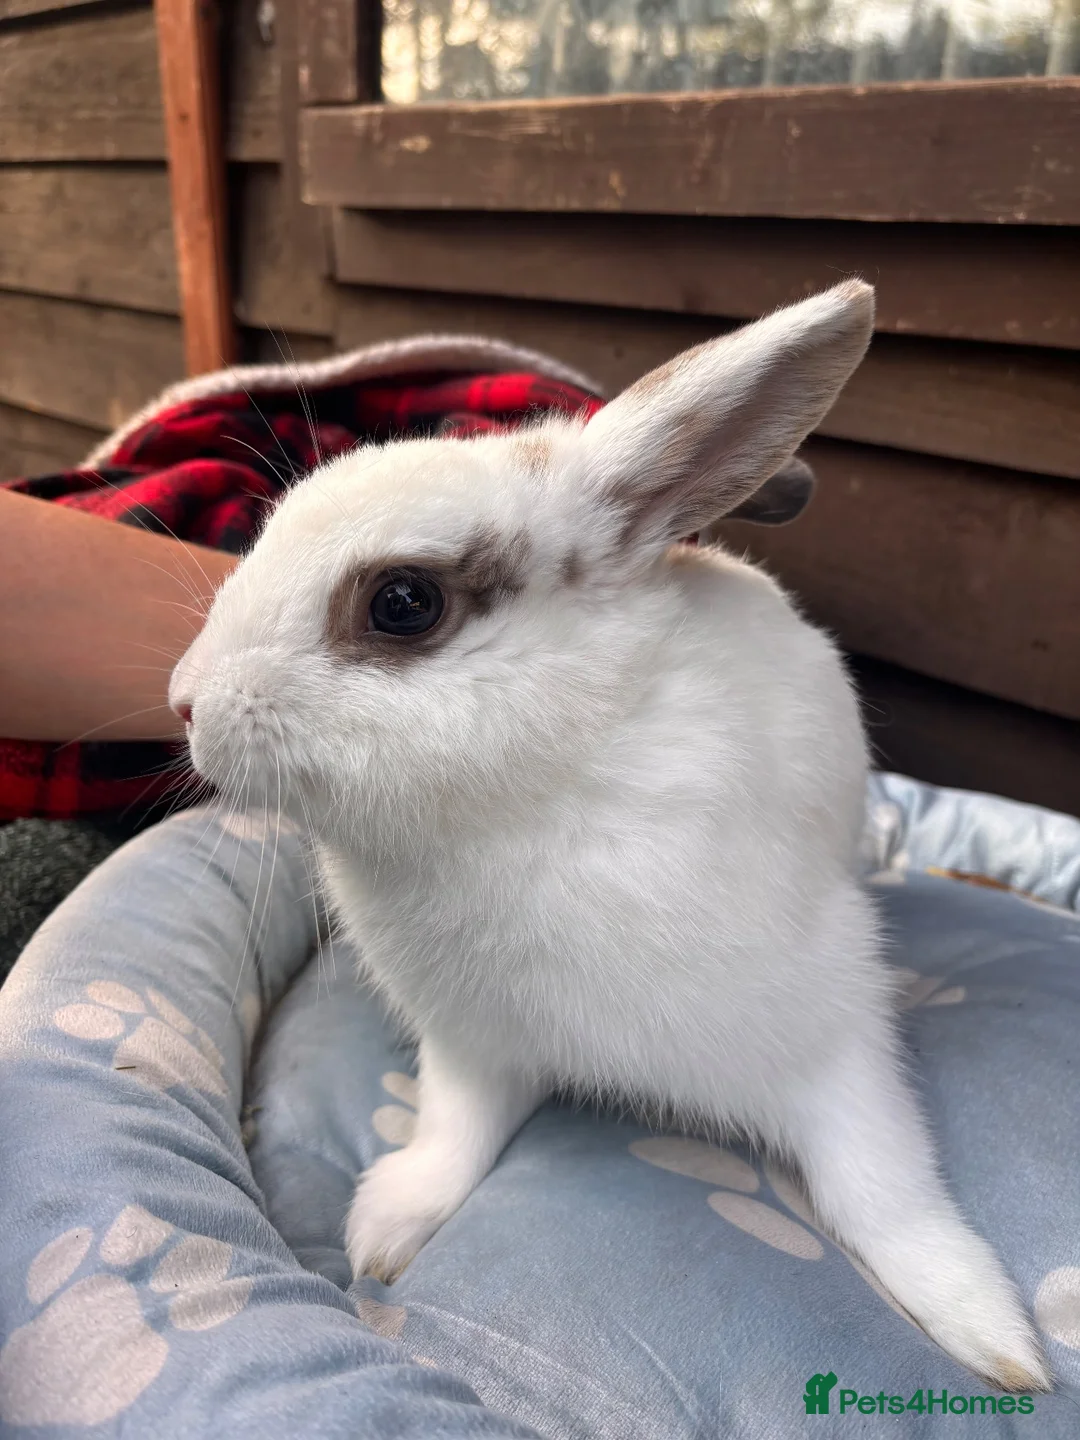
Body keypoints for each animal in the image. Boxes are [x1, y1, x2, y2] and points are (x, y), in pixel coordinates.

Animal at [171, 280, 1049, 1393]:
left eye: (404, 602)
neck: (538, 792)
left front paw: (988, 1333)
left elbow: (882, 1188)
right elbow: (454, 1132)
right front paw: (389, 1226)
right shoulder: (473, 1044)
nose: (184, 700)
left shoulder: (834, 1045)